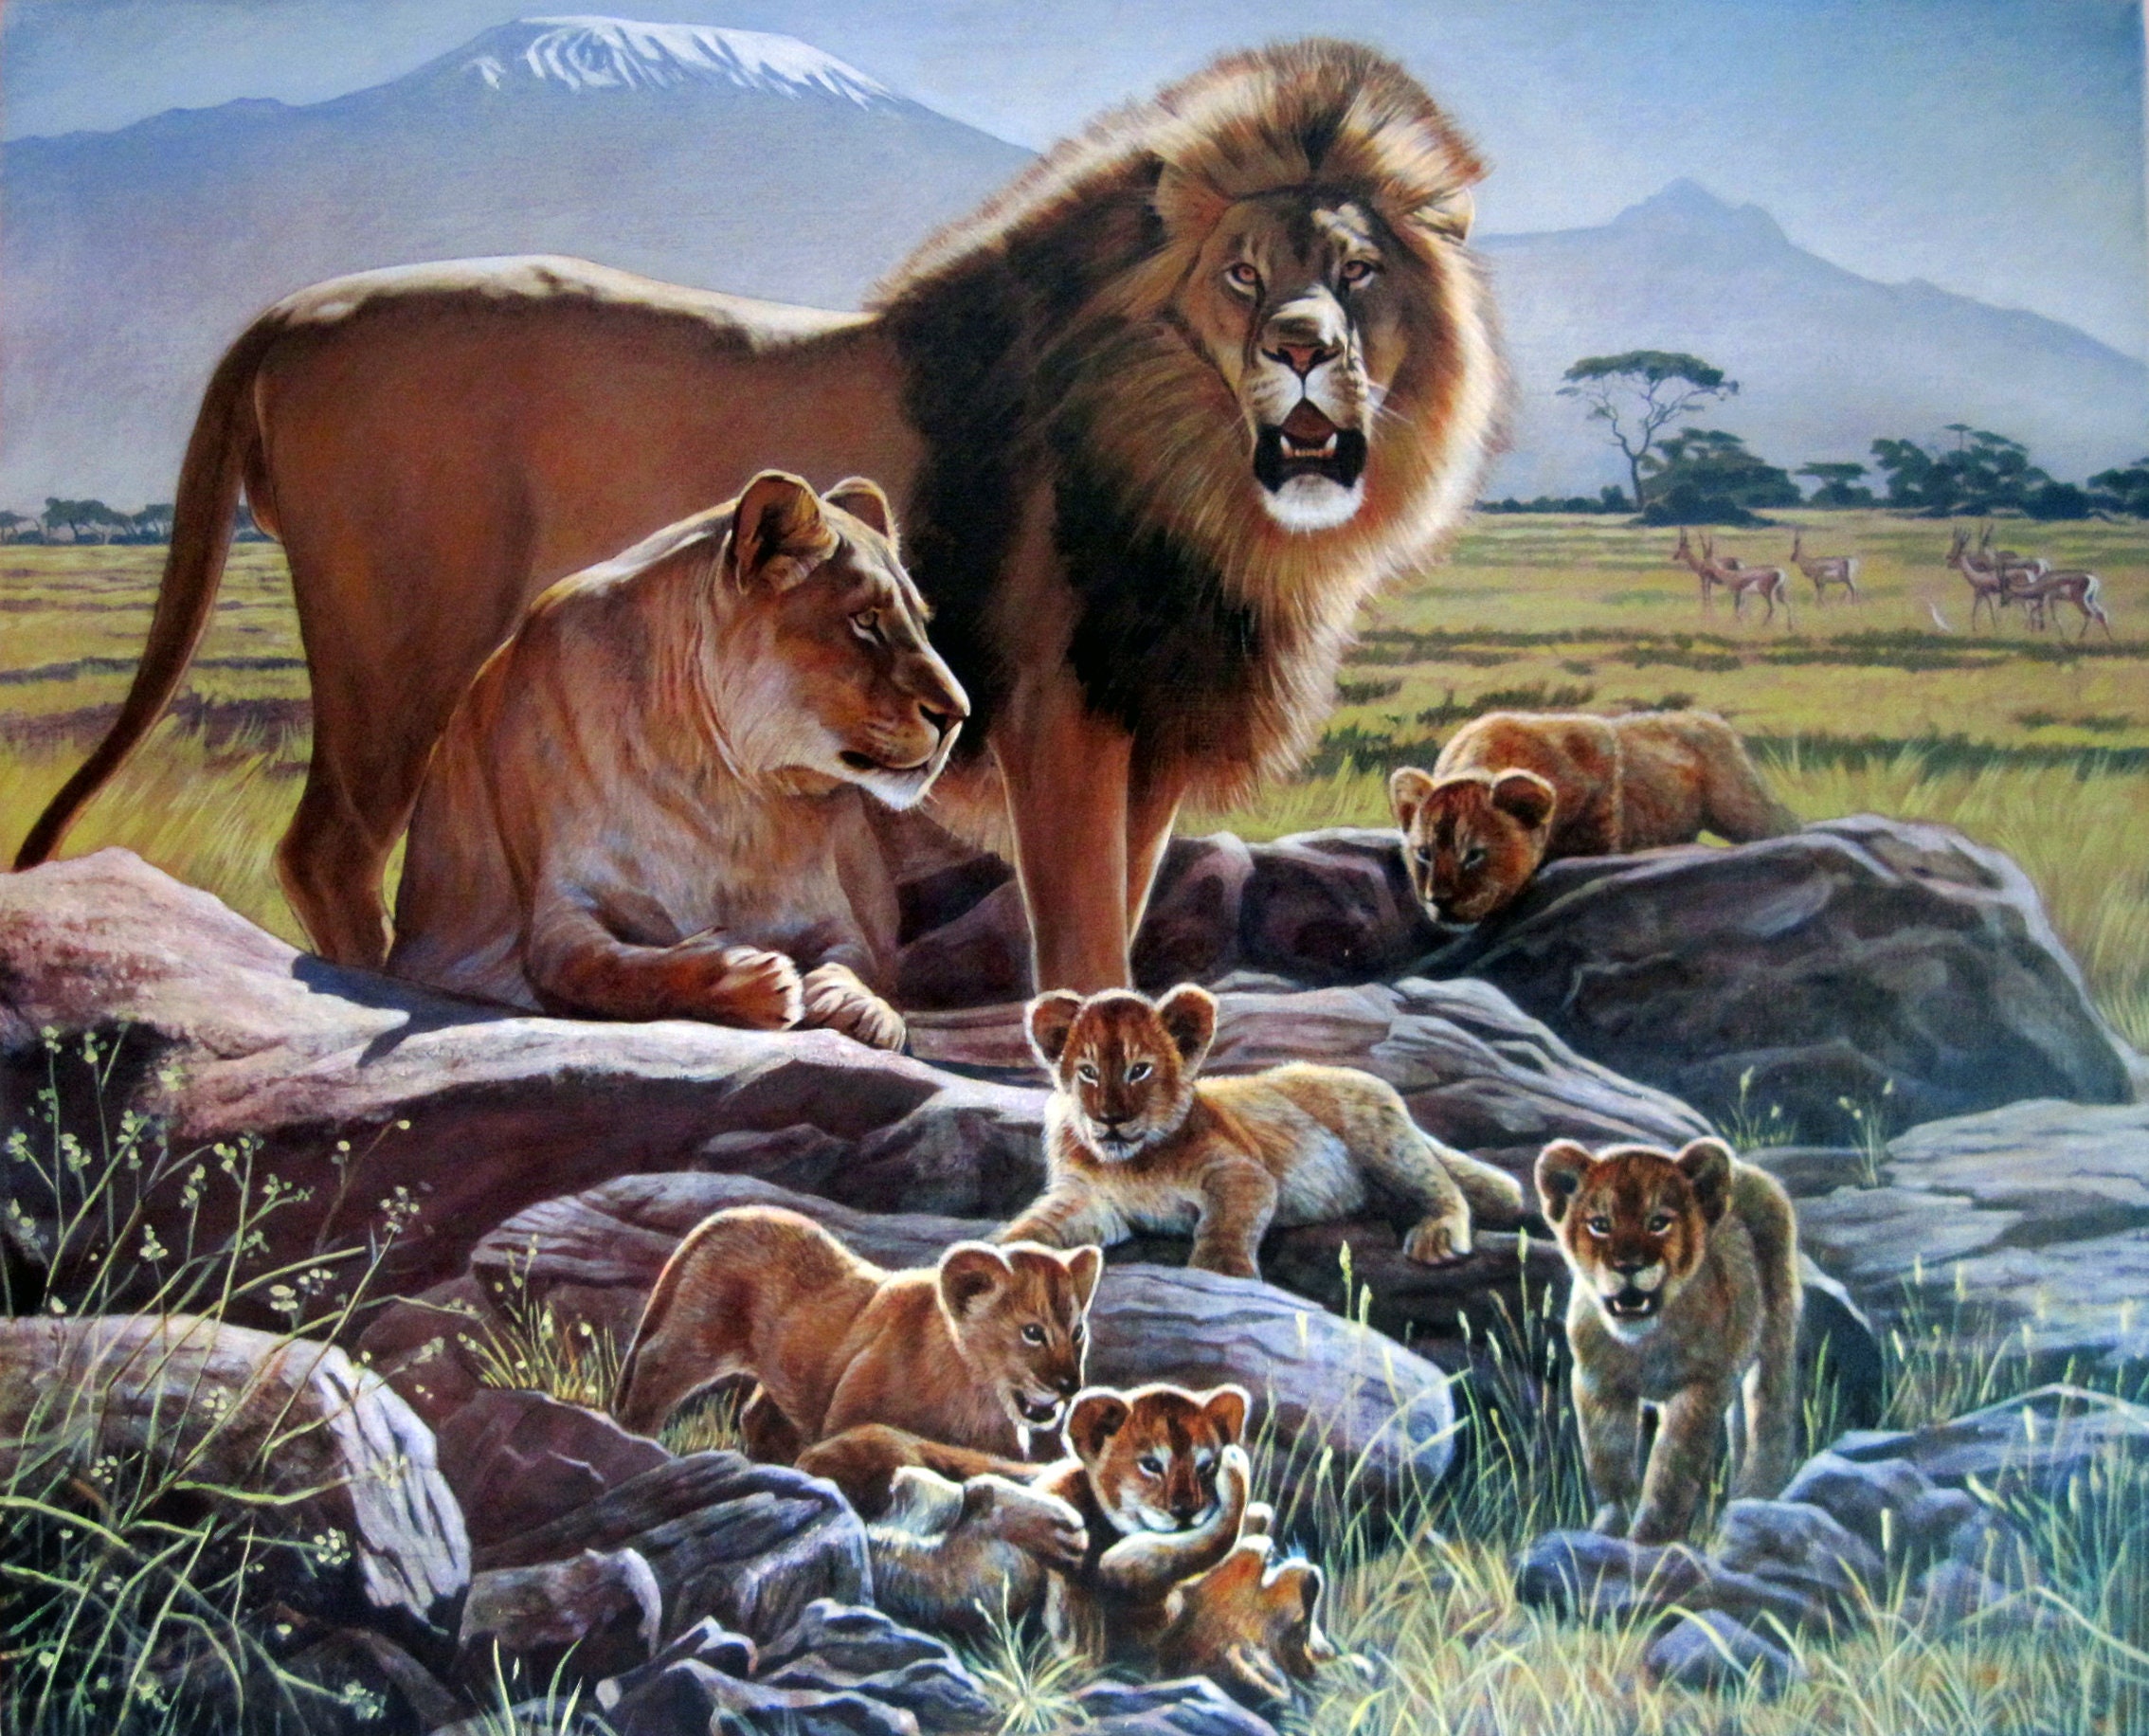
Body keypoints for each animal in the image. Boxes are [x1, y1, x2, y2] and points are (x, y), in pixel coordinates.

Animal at [385, 472, 965, 1045]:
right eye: (865, 619)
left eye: (920, 621)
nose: (959, 714)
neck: (721, 791)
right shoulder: (561, 910)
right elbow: (607, 970)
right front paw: (751, 982)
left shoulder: (829, 913)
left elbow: (858, 955)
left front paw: (861, 1006)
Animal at [609, 1206, 1102, 1460]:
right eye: (1033, 1332)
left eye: (1077, 1332)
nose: (1070, 1385)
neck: (974, 1395)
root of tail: (732, 1214)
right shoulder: (848, 1425)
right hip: (695, 1336)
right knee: (653, 1368)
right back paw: (636, 1436)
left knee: (757, 1415)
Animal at [996, 983, 1526, 1277]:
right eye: (1087, 1072)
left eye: (1138, 1070)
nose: (1109, 1119)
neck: (1133, 1163)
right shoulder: (1087, 1199)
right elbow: (1037, 1227)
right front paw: (993, 1255)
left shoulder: (1239, 1171)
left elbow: (1225, 1223)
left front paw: (1220, 1273)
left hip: (1382, 1138)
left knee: (1443, 1183)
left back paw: (1439, 1234)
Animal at [1535, 1137, 1803, 1544]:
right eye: (1600, 1225)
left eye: (1659, 1222)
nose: (1628, 1266)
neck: (1646, 1340)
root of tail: (1743, 1169)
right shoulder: (1597, 1384)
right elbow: (1608, 1462)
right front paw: (1608, 1529)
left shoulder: (1702, 1386)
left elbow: (1672, 1469)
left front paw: (1649, 1538)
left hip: (1775, 1336)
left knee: (1769, 1413)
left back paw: (1756, 1493)